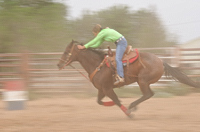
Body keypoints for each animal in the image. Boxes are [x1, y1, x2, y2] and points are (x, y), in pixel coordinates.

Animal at [57, 40, 199, 117]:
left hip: (142, 81)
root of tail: (161, 61)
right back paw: (132, 106)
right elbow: (99, 101)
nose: (58, 64)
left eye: (66, 52)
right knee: (149, 94)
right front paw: (113, 104)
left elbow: (116, 100)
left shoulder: (107, 89)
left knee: (148, 94)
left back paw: (131, 107)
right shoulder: (102, 89)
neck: (97, 65)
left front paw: (128, 113)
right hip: (143, 82)